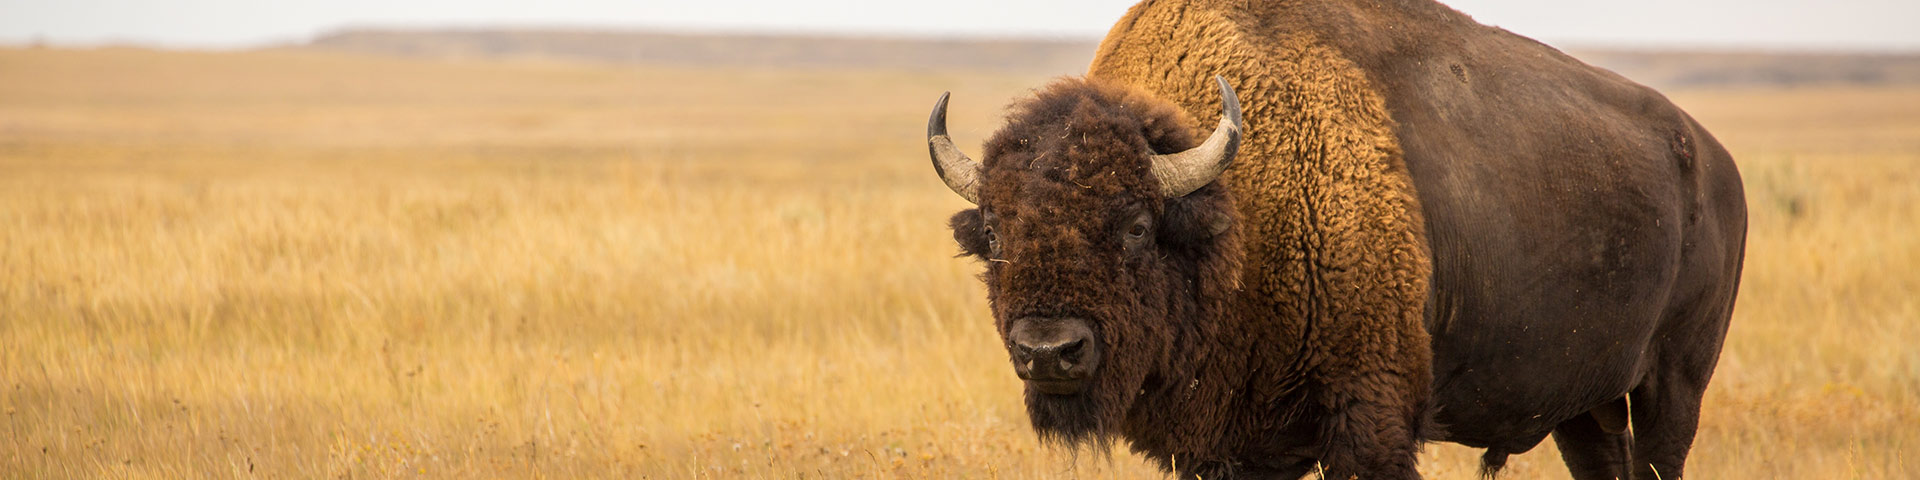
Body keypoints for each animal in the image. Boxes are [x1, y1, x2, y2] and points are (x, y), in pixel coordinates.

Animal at [921, 0, 1751, 476]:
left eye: (1134, 225)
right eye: (993, 231)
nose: (1048, 351)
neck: (1235, 216)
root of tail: (1715, 163)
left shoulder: (1369, 422)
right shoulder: (1232, 444)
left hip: (1675, 384)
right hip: (1585, 405)